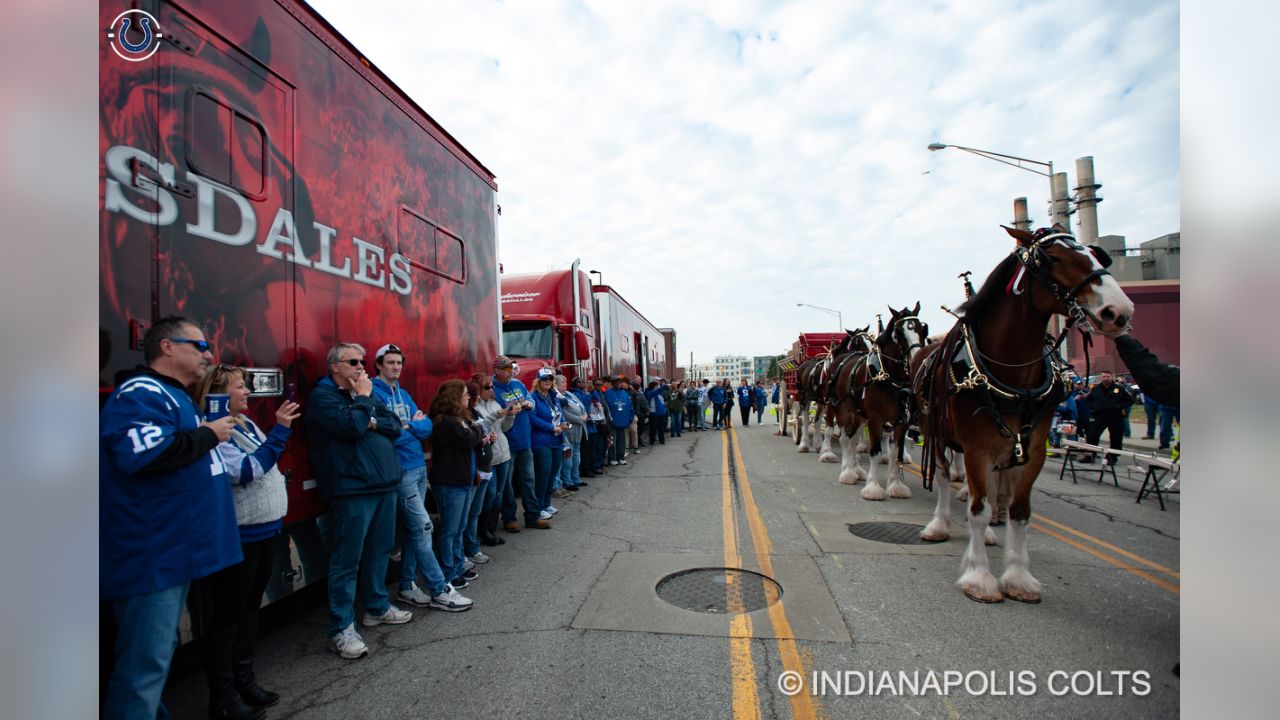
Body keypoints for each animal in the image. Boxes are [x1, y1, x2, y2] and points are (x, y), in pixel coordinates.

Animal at [911, 226, 1131, 602]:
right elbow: (979, 510)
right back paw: (939, 524)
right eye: (1050, 258)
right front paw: (979, 578)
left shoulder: (1033, 449)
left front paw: (1017, 577)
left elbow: (1019, 512)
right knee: (942, 477)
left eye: (1095, 255)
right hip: (936, 432)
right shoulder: (976, 447)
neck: (1013, 370)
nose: (1118, 310)